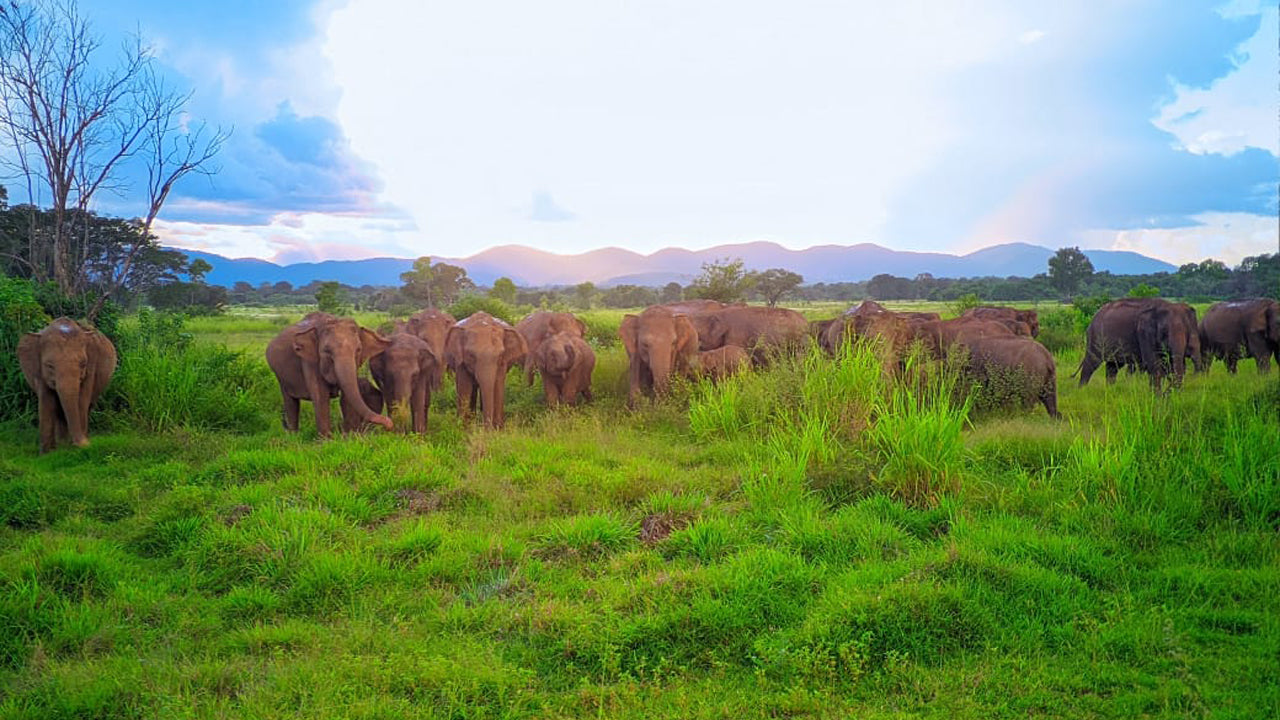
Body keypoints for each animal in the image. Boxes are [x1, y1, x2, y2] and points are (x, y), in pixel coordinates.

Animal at [17, 316, 117, 450]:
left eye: (83, 364)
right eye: (49, 366)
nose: (85, 444)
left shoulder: (91, 365)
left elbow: (82, 400)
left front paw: (77, 446)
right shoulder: (38, 372)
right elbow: (46, 400)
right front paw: (48, 452)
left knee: (88, 406)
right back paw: (62, 443)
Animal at [266, 310, 394, 435]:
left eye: (358, 350)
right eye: (327, 351)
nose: (389, 424)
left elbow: (347, 396)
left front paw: (349, 436)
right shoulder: (309, 361)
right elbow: (320, 396)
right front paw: (327, 439)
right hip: (280, 376)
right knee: (290, 402)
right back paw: (293, 436)